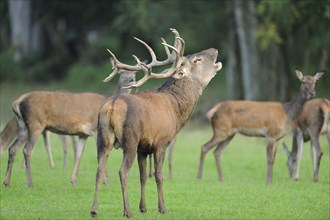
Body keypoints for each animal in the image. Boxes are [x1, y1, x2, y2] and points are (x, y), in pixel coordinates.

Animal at [2, 70, 134, 187]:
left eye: (134, 72)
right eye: (122, 72)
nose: (132, 79)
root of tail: (17, 102)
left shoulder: (83, 134)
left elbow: (79, 154)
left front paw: (74, 181)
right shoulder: (95, 129)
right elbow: (101, 154)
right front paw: (106, 181)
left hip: (23, 127)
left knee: (13, 148)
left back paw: (6, 182)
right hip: (36, 124)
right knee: (27, 150)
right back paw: (30, 183)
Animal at [90, 28, 222, 217]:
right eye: (198, 59)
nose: (214, 49)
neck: (176, 111)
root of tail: (112, 107)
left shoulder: (143, 148)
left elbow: (143, 176)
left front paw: (143, 207)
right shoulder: (161, 142)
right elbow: (159, 175)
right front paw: (162, 207)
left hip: (102, 138)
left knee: (99, 170)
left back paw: (94, 210)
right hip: (130, 139)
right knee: (122, 171)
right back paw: (127, 211)